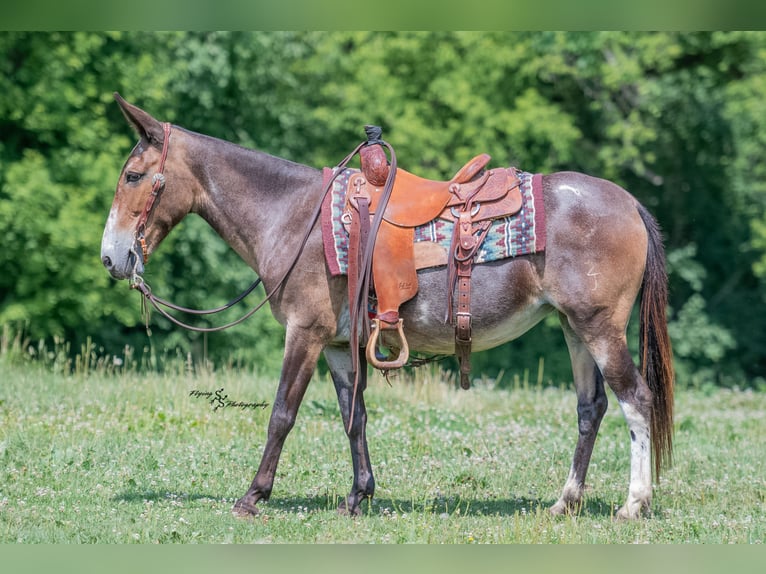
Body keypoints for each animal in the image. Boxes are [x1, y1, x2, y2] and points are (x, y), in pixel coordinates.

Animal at [101, 94, 674, 520]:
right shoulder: (338, 344)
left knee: (635, 399)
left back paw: (634, 504)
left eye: (132, 176)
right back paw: (564, 502)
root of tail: (629, 203)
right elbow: (354, 416)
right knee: (591, 409)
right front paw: (359, 496)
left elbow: (282, 413)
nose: (111, 257)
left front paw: (253, 496)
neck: (292, 215)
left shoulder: (304, 332)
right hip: (573, 328)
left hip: (600, 327)